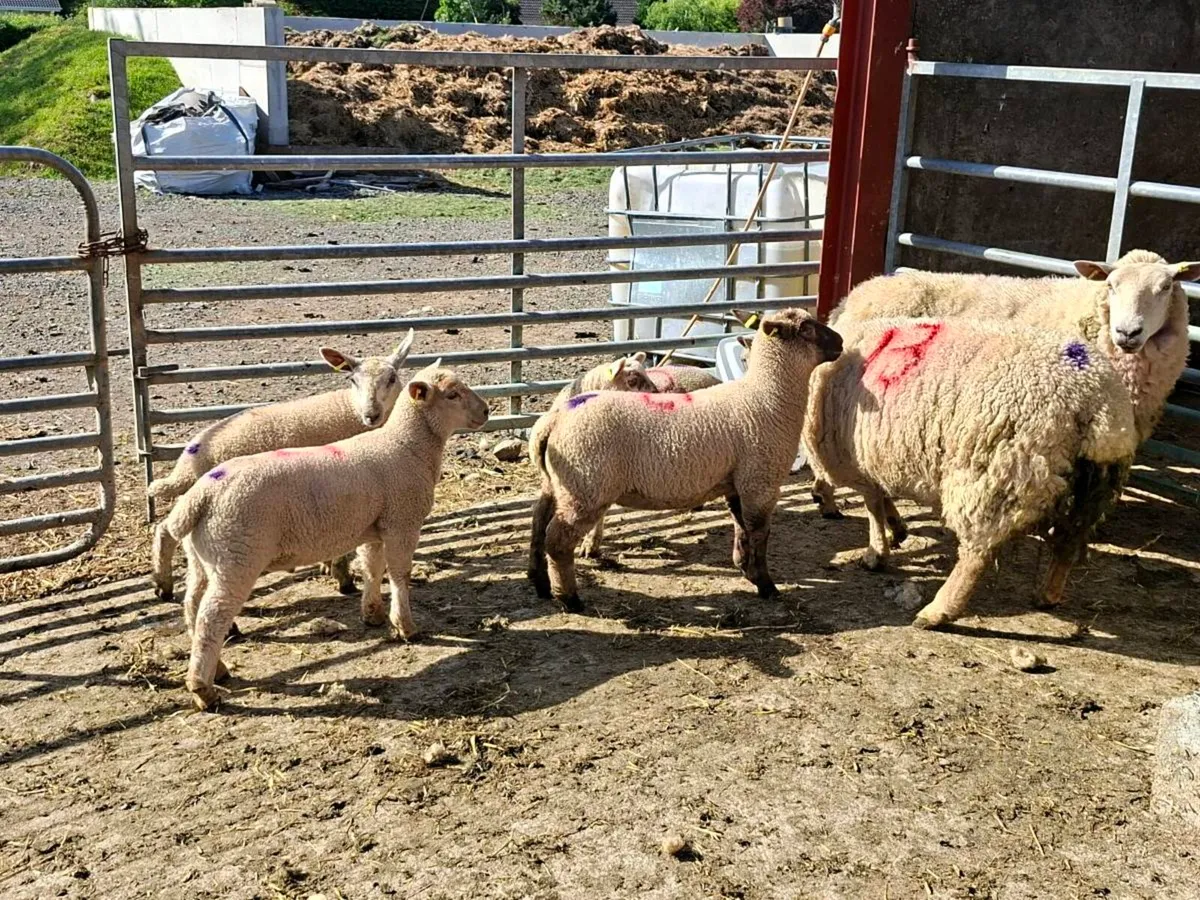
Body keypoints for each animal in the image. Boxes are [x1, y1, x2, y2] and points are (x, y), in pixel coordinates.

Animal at [149, 330, 415, 601]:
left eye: (392, 378)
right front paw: (342, 576)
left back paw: (162, 584)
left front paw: (328, 567)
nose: (371, 415)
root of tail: (187, 460)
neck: (349, 409)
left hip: (190, 498)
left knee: (165, 529)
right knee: (168, 531)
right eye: (352, 380)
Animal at [151, 361, 489, 711]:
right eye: (452, 395)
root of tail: (201, 494)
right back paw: (204, 689)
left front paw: (373, 614)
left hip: (205, 556)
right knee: (212, 616)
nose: (487, 411)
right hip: (236, 557)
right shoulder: (402, 521)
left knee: (192, 605)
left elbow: (373, 568)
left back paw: (216, 668)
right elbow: (399, 575)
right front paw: (405, 626)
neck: (406, 446)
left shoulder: (375, 526)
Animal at [527, 308, 843, 612]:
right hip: (586, 489)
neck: (767, 397)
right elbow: (759, 533)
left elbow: (741, 527)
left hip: (559, 485)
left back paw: (540, 583)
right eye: (806, 328)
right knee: (557, 541)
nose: (840, 342)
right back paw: (569, 598)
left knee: (538, 525)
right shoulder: (760, 481)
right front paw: (766, 585)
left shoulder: (737, 483)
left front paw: (746, 569)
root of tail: (556, 417)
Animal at [803, 316, 1138, 629]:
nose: (818, 499)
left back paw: (937, 612)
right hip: (1093, 489)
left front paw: (876, 552)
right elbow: (882, 501)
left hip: (994, 475)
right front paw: (896, 529)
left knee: (977, 553)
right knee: (1069, 540)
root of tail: (1096, 404)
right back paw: (1047, 595)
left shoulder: (859, 460)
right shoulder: (873, 459)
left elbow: (873, 506)